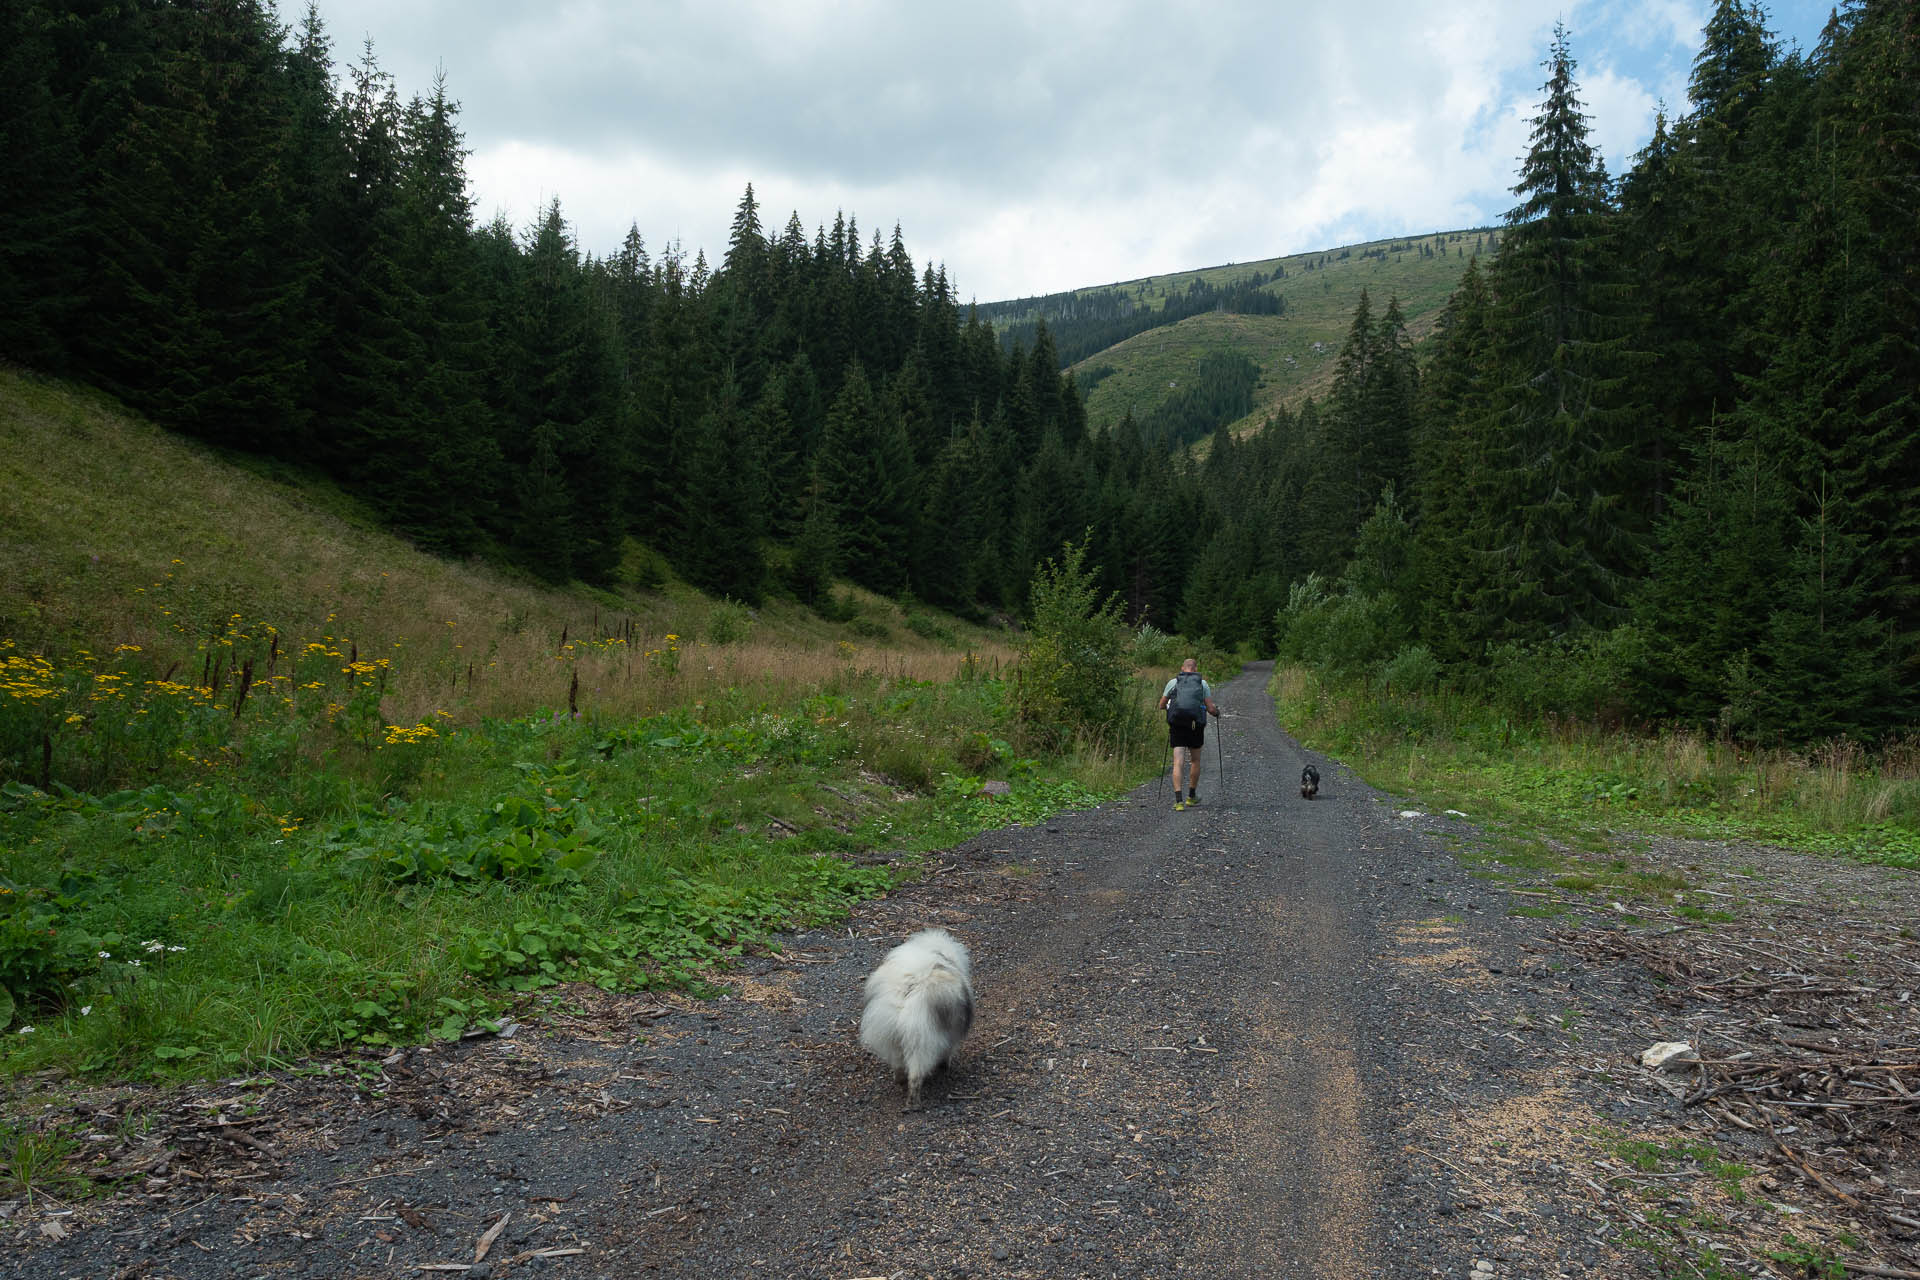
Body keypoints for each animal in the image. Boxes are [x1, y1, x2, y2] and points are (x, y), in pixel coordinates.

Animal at [860, 932, 975, 1113]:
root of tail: (907, 990)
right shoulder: (950, 1038)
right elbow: (948, 1052)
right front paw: (945, 1066)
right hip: (922, 1043)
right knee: (915, 1076)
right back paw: (914, 1104)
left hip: (893, 1038)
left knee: (899, 1066)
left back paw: (900, 1081)